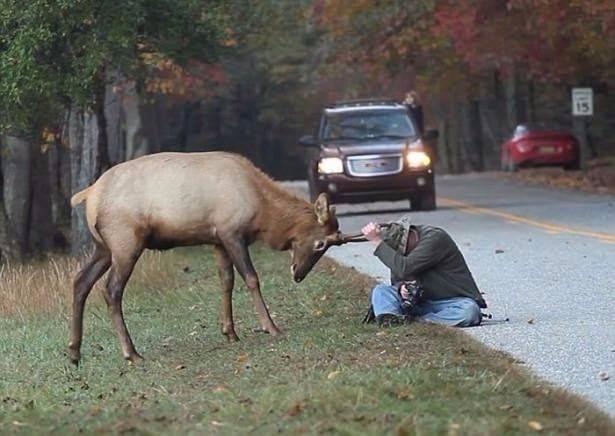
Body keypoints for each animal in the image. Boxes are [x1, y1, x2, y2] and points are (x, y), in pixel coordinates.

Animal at [68, 152, 354, 362]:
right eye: (320, 243)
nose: (298, 273)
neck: (263, 214)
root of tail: (88, 195)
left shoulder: (217, 241)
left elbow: (226, 281)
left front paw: (230, 332)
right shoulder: (231, 232)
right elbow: (251, 278)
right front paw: (270, 327)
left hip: (103, 247)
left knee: (80, 282)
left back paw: (74, 351)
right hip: (125, 241)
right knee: (111, 290)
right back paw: (131, 353)